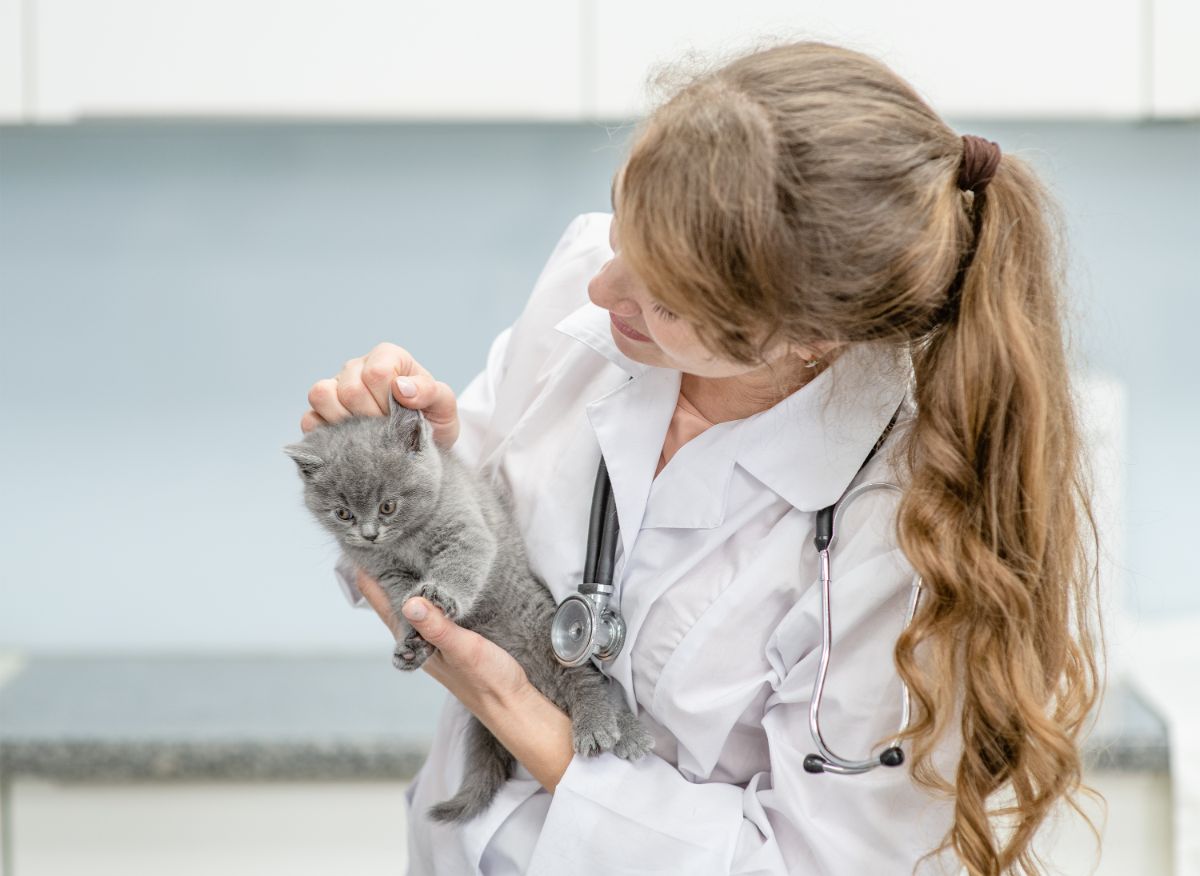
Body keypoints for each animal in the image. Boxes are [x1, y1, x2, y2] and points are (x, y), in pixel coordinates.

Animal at [283, 393, 657, 820]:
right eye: (343, 513)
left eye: (388, 507)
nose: (369, 534)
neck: (406, 540)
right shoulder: (387, 572)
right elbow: (401, 598)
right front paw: (412, 641)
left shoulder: (467, 529)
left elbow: (462, 562)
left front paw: (441, 596)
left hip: (546, 628)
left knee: (586, 677)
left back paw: (608, 728)